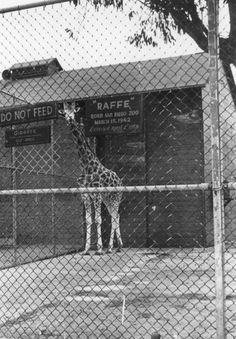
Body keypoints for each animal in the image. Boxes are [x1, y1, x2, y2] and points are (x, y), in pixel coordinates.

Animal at [58, 101, 123, 255]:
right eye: (65, 112)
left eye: (74, 112)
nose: (70, 119)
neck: (86, 166)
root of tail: (120, 180)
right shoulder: (85, 193)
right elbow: (88, 220)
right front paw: (86, 249)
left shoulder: (97, 192)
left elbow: (98, 219)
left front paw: (99, 249)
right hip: (107, 198)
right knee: (115, 216)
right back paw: (116, 246)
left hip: (115, 196)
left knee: (114, 217)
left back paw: (110, 247)